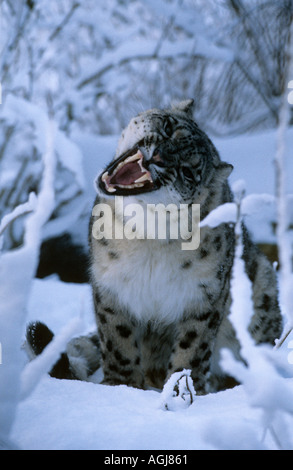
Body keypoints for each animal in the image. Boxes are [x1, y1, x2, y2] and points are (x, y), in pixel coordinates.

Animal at [26, 101, 282, 394]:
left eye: (188, 172)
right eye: (169, 127)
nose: (158, 156)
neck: (147, 237)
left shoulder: (204, 295)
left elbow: (192, 347)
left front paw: (182, 389)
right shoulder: (111, 285)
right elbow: (118, 339)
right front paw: (121, 385)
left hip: (263, 285)